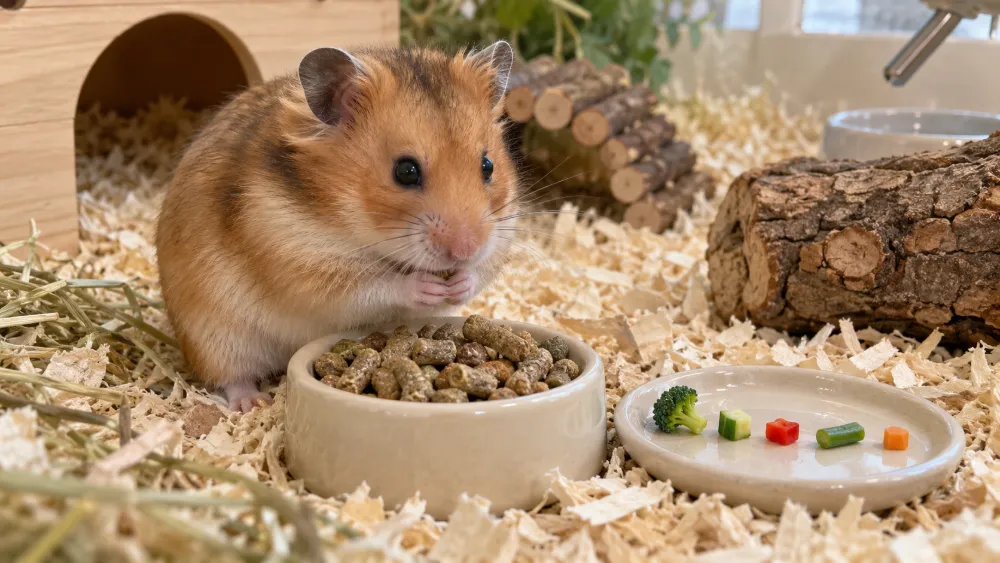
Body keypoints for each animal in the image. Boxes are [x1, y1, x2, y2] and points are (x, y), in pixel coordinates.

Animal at [154, 41, 521, 412]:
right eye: (405, 171)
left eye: (488, 166)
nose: (465, 250)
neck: (350, 223)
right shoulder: (302, 263)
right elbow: (376, 286)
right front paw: (427, 286)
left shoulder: (500, 236)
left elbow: (479, 275)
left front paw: (460, 282)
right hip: (214, 338)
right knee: (230, 377)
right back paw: (253, 402)